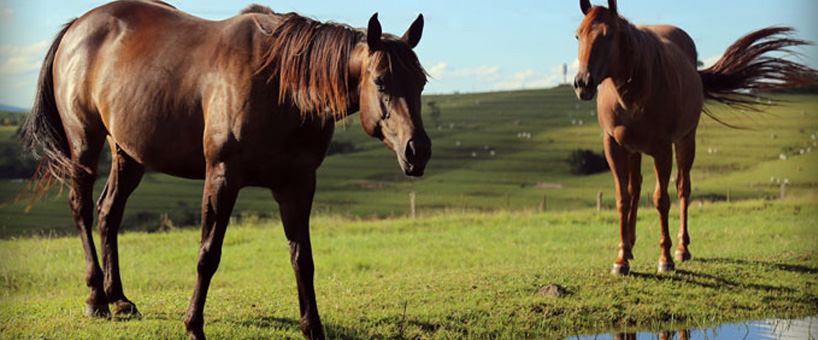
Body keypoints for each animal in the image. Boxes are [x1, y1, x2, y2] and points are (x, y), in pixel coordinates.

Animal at [20, 1, 434, 338]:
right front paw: (193, 326)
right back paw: (96, 299)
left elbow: (303, 259)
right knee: (82, 208)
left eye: (421, 82)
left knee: (109, 212)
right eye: (380, 81)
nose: (418, 151)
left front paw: (313, 329)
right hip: (84, 143)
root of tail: (77, 26)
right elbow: (208, 254)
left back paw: (119, 299)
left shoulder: (298, 184)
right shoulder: (222, 176)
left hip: (128, 153)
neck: (281, 85)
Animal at [572, 0, 812, 274]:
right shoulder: (614, 146)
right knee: (636, 189)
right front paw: (621, 259)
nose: (582, 83)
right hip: (635, 149)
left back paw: (681, 248)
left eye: (609, 35)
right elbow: (624, 199)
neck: (633, 90)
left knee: (683, 188)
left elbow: (661, 200)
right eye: (578, 35)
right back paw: (631, 247)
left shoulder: (663, 149)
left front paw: (665, 258)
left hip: (686, 141)